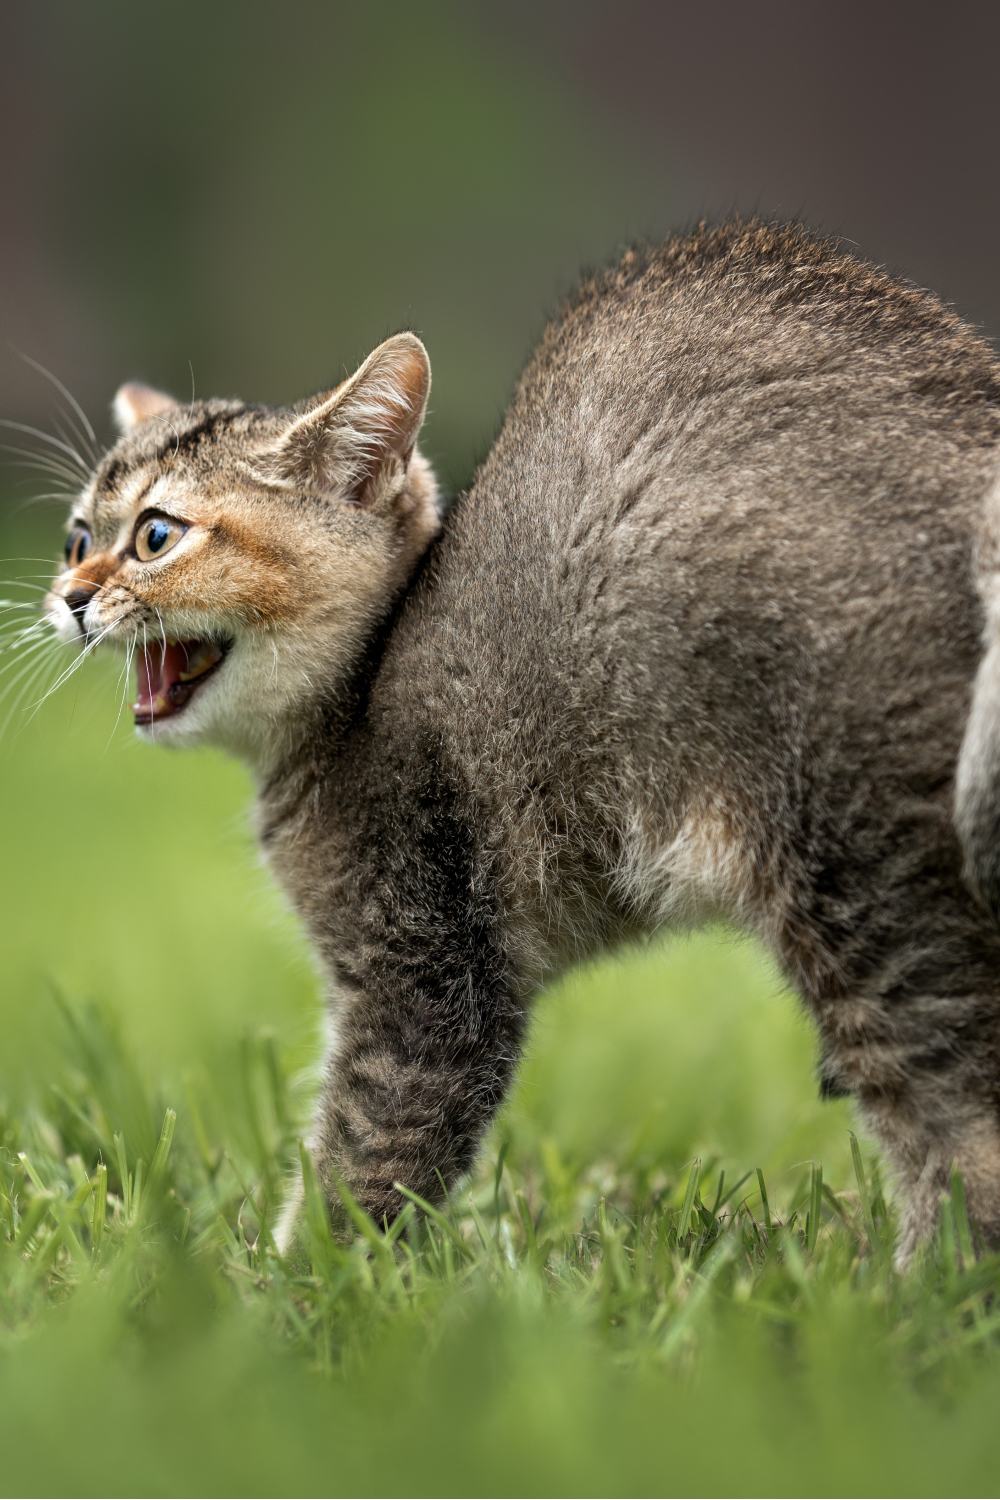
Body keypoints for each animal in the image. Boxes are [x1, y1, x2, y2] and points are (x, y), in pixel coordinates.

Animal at [44, 217, 1000, 1260]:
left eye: (156, 536)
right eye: (76, 537)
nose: (70, 596)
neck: (361, 685)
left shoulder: (426, 974)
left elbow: (365, 1161)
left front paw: (283, 1281)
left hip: (858, 872)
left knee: (963, 1132)